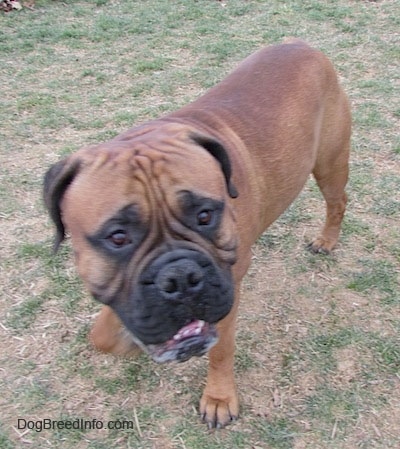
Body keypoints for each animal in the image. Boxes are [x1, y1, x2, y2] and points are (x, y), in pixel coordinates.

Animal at [43, 40, 350, 428]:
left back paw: (326, 240)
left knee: (338, 201)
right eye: (118, 237)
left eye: (205, 215)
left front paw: (218, 397)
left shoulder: (227, 294)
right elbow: (102, 333)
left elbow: (220, 350)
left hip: (329, 163)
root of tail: (301, 44)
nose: (180, 277)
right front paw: (127, 340)